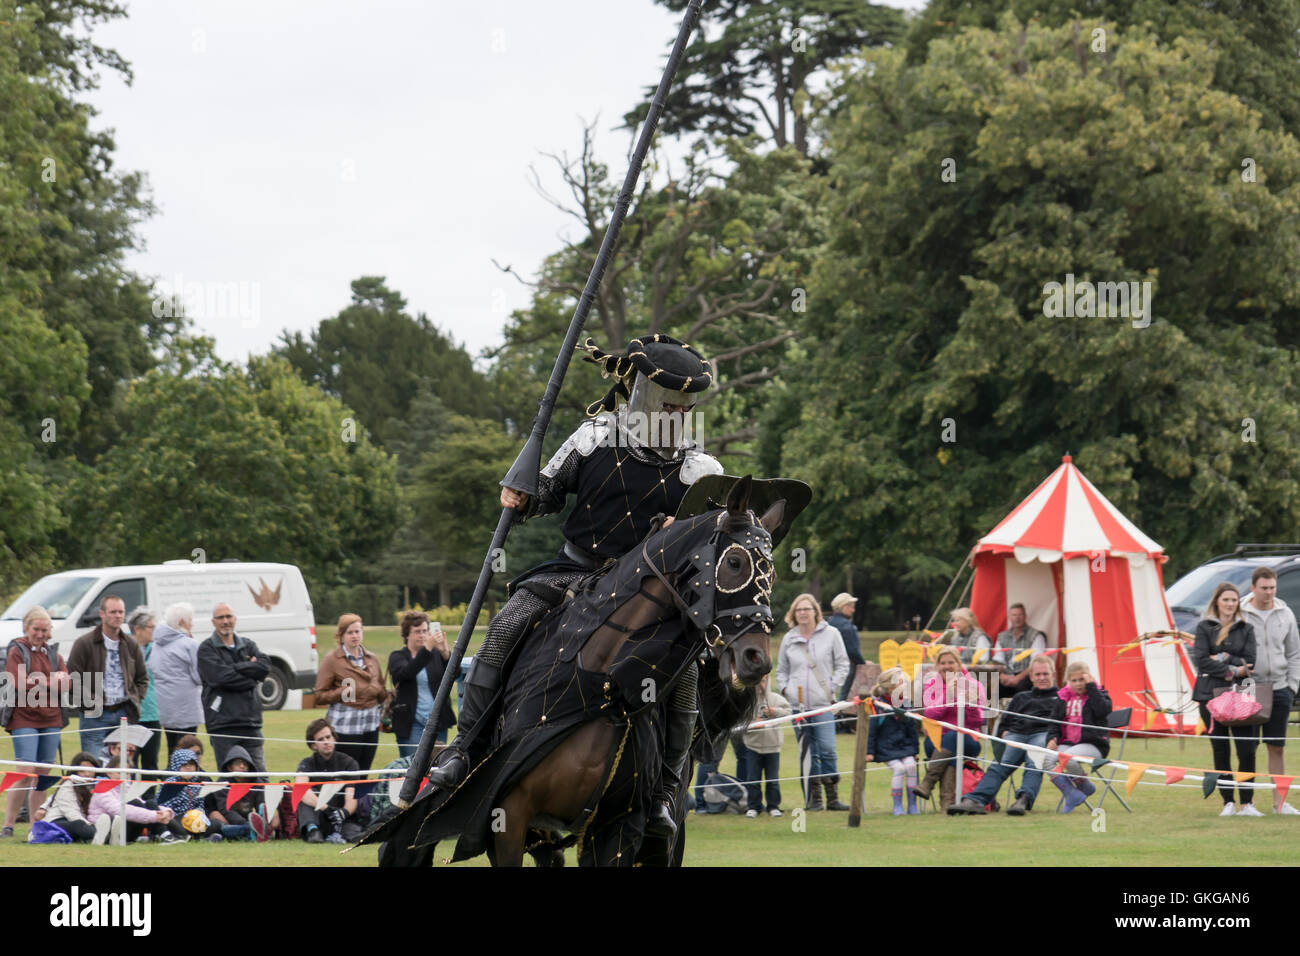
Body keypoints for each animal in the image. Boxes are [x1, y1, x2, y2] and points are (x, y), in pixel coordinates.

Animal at [371, 476, 785, 868]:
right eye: (735, 563)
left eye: (772, 574)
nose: (756, 660)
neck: (600, 684)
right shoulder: (506, 819)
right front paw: (515, 498)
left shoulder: (618, 827)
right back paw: (453, 762)